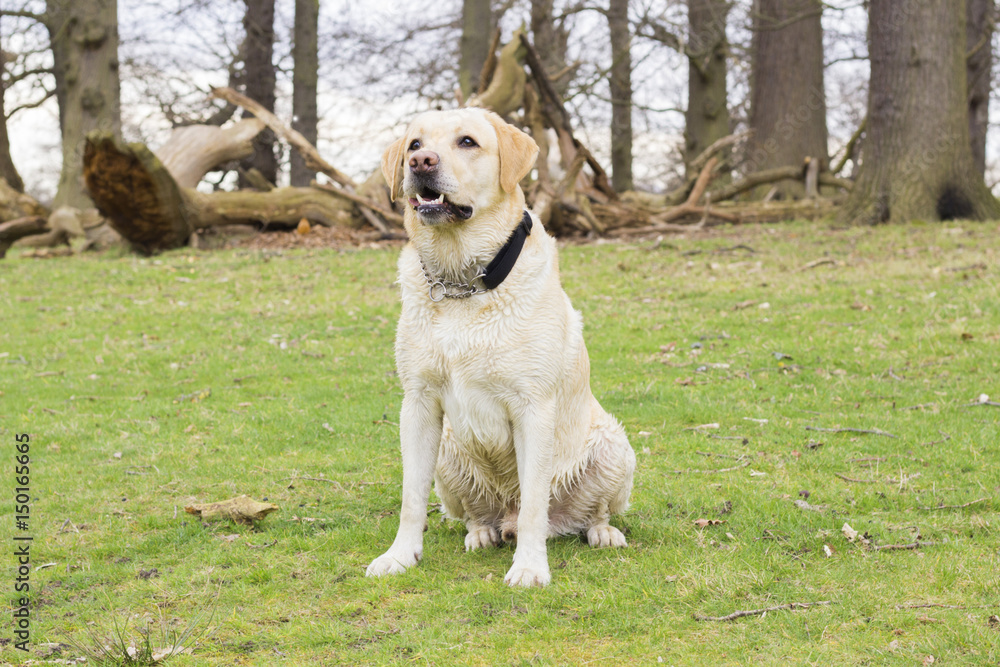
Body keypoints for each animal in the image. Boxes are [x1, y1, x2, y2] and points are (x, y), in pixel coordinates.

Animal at [366, 107, 632, 588]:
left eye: (467, 142)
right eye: (415, 144)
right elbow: (411, 499)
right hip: (448, 451)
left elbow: (533, 505)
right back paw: (482, 533)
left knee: (581, 513)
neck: (463, 283)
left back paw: (601, 532)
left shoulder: (534, 408)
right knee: (477, 514)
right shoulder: (417, 404)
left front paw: (529, 567)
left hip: (613, 445)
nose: (420, 163)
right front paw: (399, 556)